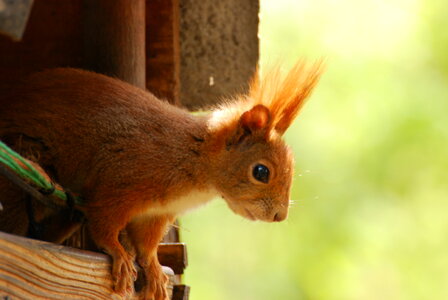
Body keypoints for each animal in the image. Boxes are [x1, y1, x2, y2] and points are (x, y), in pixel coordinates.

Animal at [0, 62, 322, 298]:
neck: (193, 158)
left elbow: (146, 243)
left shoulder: (157, 213)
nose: (280, 216)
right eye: (261, 172)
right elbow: (104, 223)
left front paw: (154, 269)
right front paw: (119, 254)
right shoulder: (121, 182)